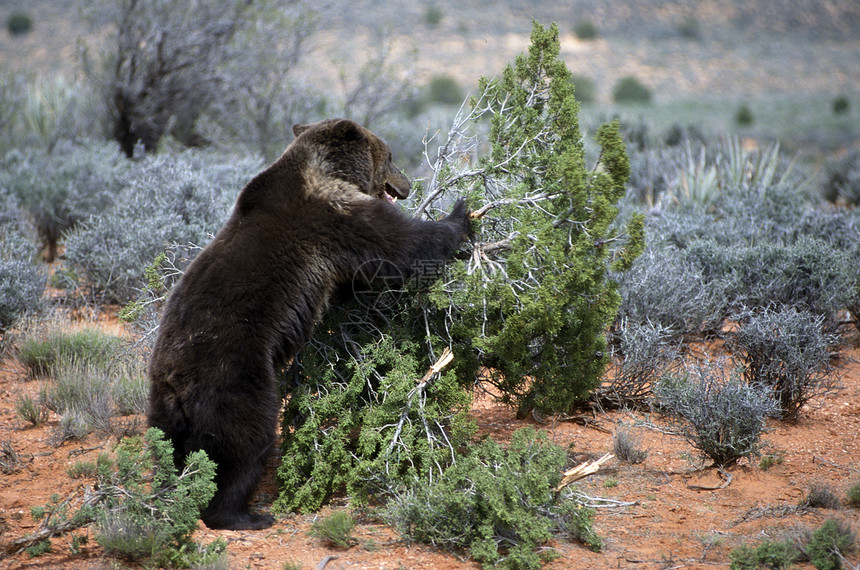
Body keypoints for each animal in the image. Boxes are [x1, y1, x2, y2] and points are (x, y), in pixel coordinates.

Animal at [146, 117, 470, 532]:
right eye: (391, 155)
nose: (408, 183)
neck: (326, 170)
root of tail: (174, 379)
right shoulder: (334, 216)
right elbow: (399, 247)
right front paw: (461, 214)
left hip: (163, 406)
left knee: (168, 448)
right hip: (233, 376)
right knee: (244, 439)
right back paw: (242, 513)